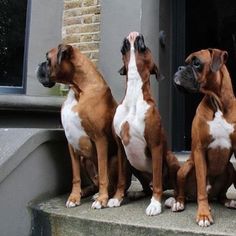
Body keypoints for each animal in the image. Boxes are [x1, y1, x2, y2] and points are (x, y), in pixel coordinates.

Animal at [36, 43, 130, 208]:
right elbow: (75, 176)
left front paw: (102, 199)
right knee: (95, 183)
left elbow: (103, 174)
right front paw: (74, 197)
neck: (78, 90)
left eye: (47, 59)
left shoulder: (100, 140)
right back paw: (86, 192)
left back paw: (102, 195)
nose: (38, 65)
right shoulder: (71, 143)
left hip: (114, 159)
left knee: (110, 184)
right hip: (84, 160)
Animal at [108, 31, 180, 216]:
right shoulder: (121, 148)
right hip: (133, 165)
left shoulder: (155, 145)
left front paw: (155, 204)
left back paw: (173, 199)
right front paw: (117, 198)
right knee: (148, 187)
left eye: (146, 48)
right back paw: (137, 193)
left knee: (168, 185)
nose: (135, 34)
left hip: (170, 158)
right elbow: (121, 179)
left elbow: (157, 177)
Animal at [171, 48, 236, 227]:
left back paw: (228, 201)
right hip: (185, 168)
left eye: (196, 63)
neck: (218, 103)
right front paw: (204, 215)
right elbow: (201, 186)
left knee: (221, 195)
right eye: (186, 62)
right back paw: (179, 203)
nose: (179, 68)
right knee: (183, 192)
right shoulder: (200, 150)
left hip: (230, 168)